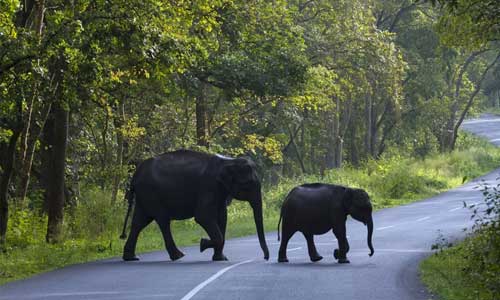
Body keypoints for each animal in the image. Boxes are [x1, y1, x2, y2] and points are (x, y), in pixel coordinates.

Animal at [119, 149, 270, 262]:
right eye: (247, 184)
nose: (265, 258)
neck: (228, 161)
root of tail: (135, 175)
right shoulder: (208, 187)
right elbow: (203, 217)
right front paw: (203, 244)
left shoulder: (220, 191)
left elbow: (222, 217)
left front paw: (220, 258)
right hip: (151, 193)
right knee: (162, 221)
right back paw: (178, 256)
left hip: (144, 196)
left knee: (139, 222)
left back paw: (131, 258)